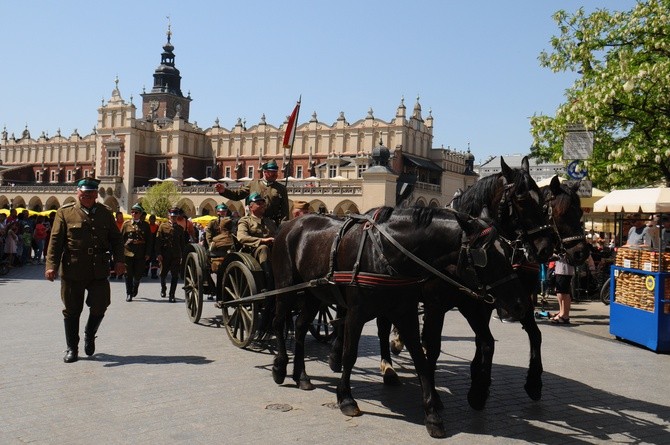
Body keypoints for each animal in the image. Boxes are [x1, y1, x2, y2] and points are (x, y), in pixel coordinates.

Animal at [270, 208, 532, 438]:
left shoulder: (406, 313)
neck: (387, 254)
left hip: (314, 294)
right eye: (488, 257)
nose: (521, 305)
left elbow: (421, 358)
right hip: (286, 288)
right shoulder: (357, 313)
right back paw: (280, 367)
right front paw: (346, 398)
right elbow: (350, 354)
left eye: (508, 251)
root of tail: (289, 224)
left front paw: (432, 414)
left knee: (301, 327)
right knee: (279, 322)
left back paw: (302, 376)